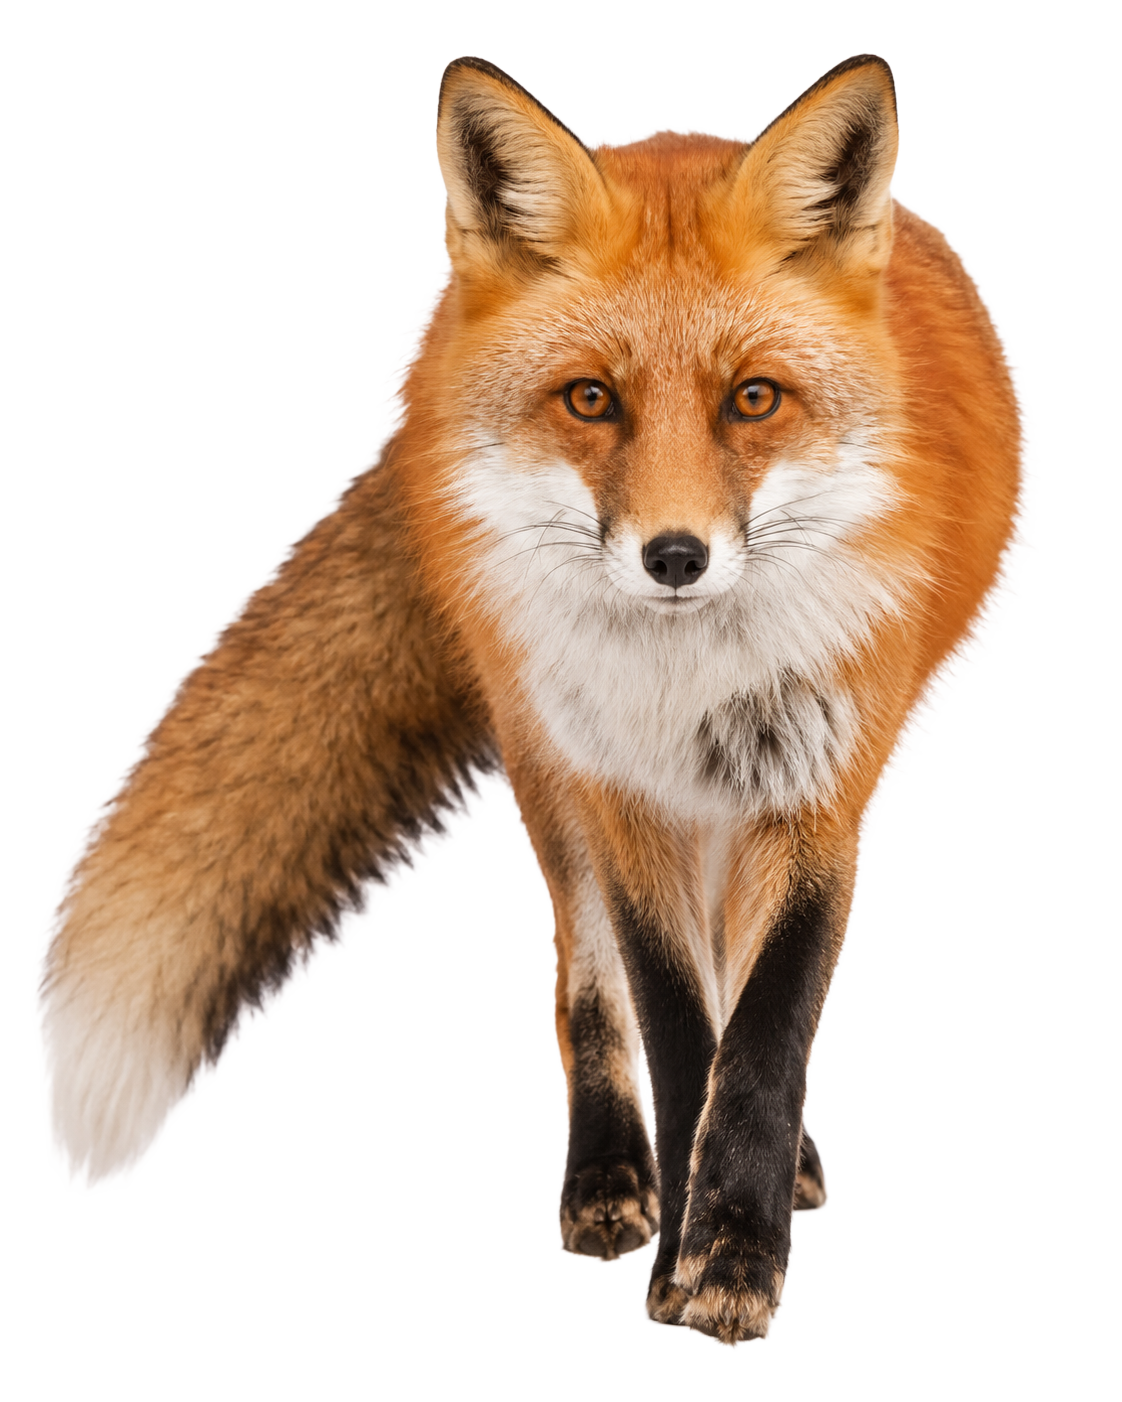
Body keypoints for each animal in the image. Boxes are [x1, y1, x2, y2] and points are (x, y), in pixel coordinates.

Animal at [40, 55, 1022, 1345]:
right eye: (590, 399)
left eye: (754, 399)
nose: (674, 556)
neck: (688, 679)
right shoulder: (623, 788)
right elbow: (675, 1026)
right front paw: (686, 1253)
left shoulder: (819, 790)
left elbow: (765, 1034)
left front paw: (735, 1250)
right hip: (545, 757)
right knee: (582, 979)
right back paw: (609, 1177)